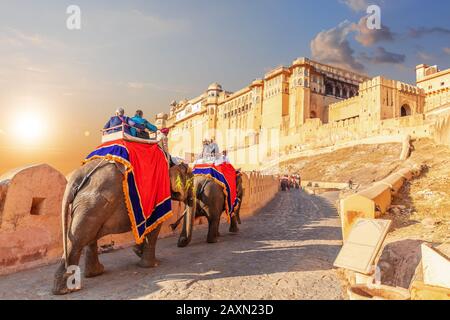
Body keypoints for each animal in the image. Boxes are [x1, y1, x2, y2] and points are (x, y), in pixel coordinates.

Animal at [52, 160, 193, 296]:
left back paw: (95, 273)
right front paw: (152, 264)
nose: (174, 227)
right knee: (79, 238)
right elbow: (155, 224)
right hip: (94, 203)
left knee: (89, 235)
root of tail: (76, 176)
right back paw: (66, 289)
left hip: (88, 205)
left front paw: (138, 251)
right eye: (190, 182)